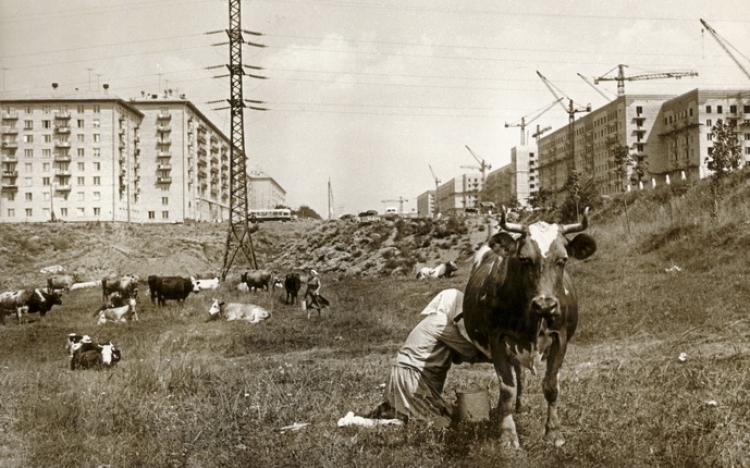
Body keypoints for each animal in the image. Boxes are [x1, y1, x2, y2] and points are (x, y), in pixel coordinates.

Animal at [464, 208, 600, 450]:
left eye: (563, 259)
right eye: (524, 259)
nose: (545, 305)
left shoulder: (561, 337)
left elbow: (551, 386)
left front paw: (554, 432)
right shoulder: (497, 338)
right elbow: (506, 388)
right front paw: (508, 435)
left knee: (520, 374)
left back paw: (521, 406)